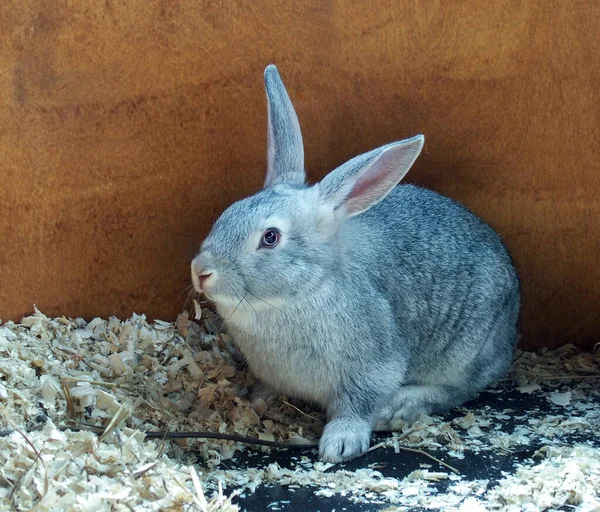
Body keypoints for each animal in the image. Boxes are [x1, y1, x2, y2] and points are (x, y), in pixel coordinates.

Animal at [192, 64, 520, 464]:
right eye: (227, 212)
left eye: (270, 237)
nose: (200, 270)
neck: (298, 294)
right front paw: (255, 399)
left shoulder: (372, 368)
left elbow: (356, 407)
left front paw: (340, 444)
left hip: (466, 352)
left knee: (459, 389)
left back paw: (401, 406)